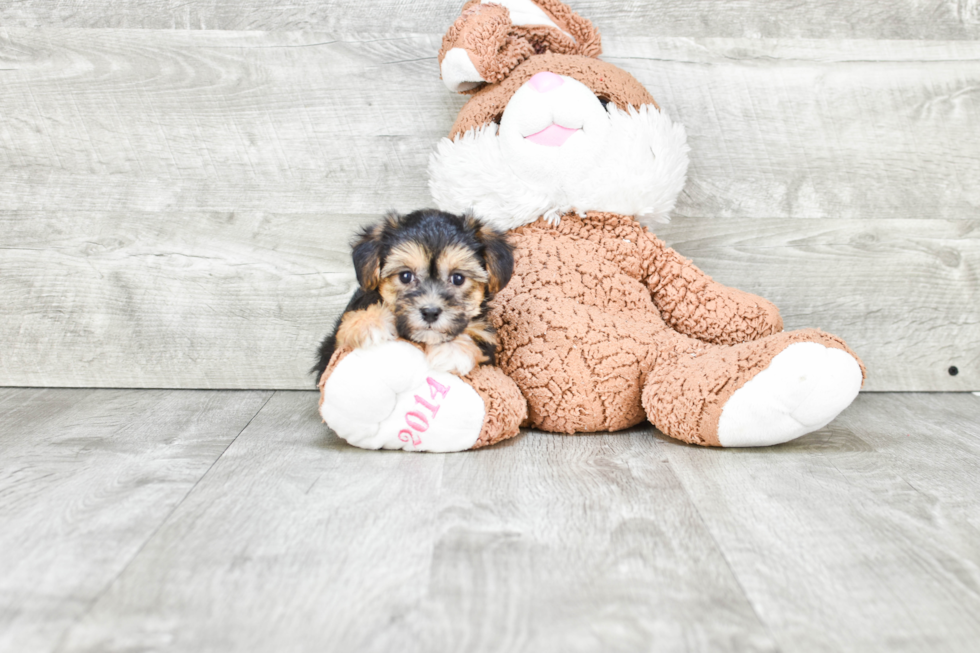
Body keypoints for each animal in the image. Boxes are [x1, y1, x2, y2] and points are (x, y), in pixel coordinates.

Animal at [314, 208, 516, 382]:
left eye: (458, 278)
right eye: (405, 276)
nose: (430, 312)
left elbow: (477, 333)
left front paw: (452, 349)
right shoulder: (333, 347)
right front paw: (368, 323)